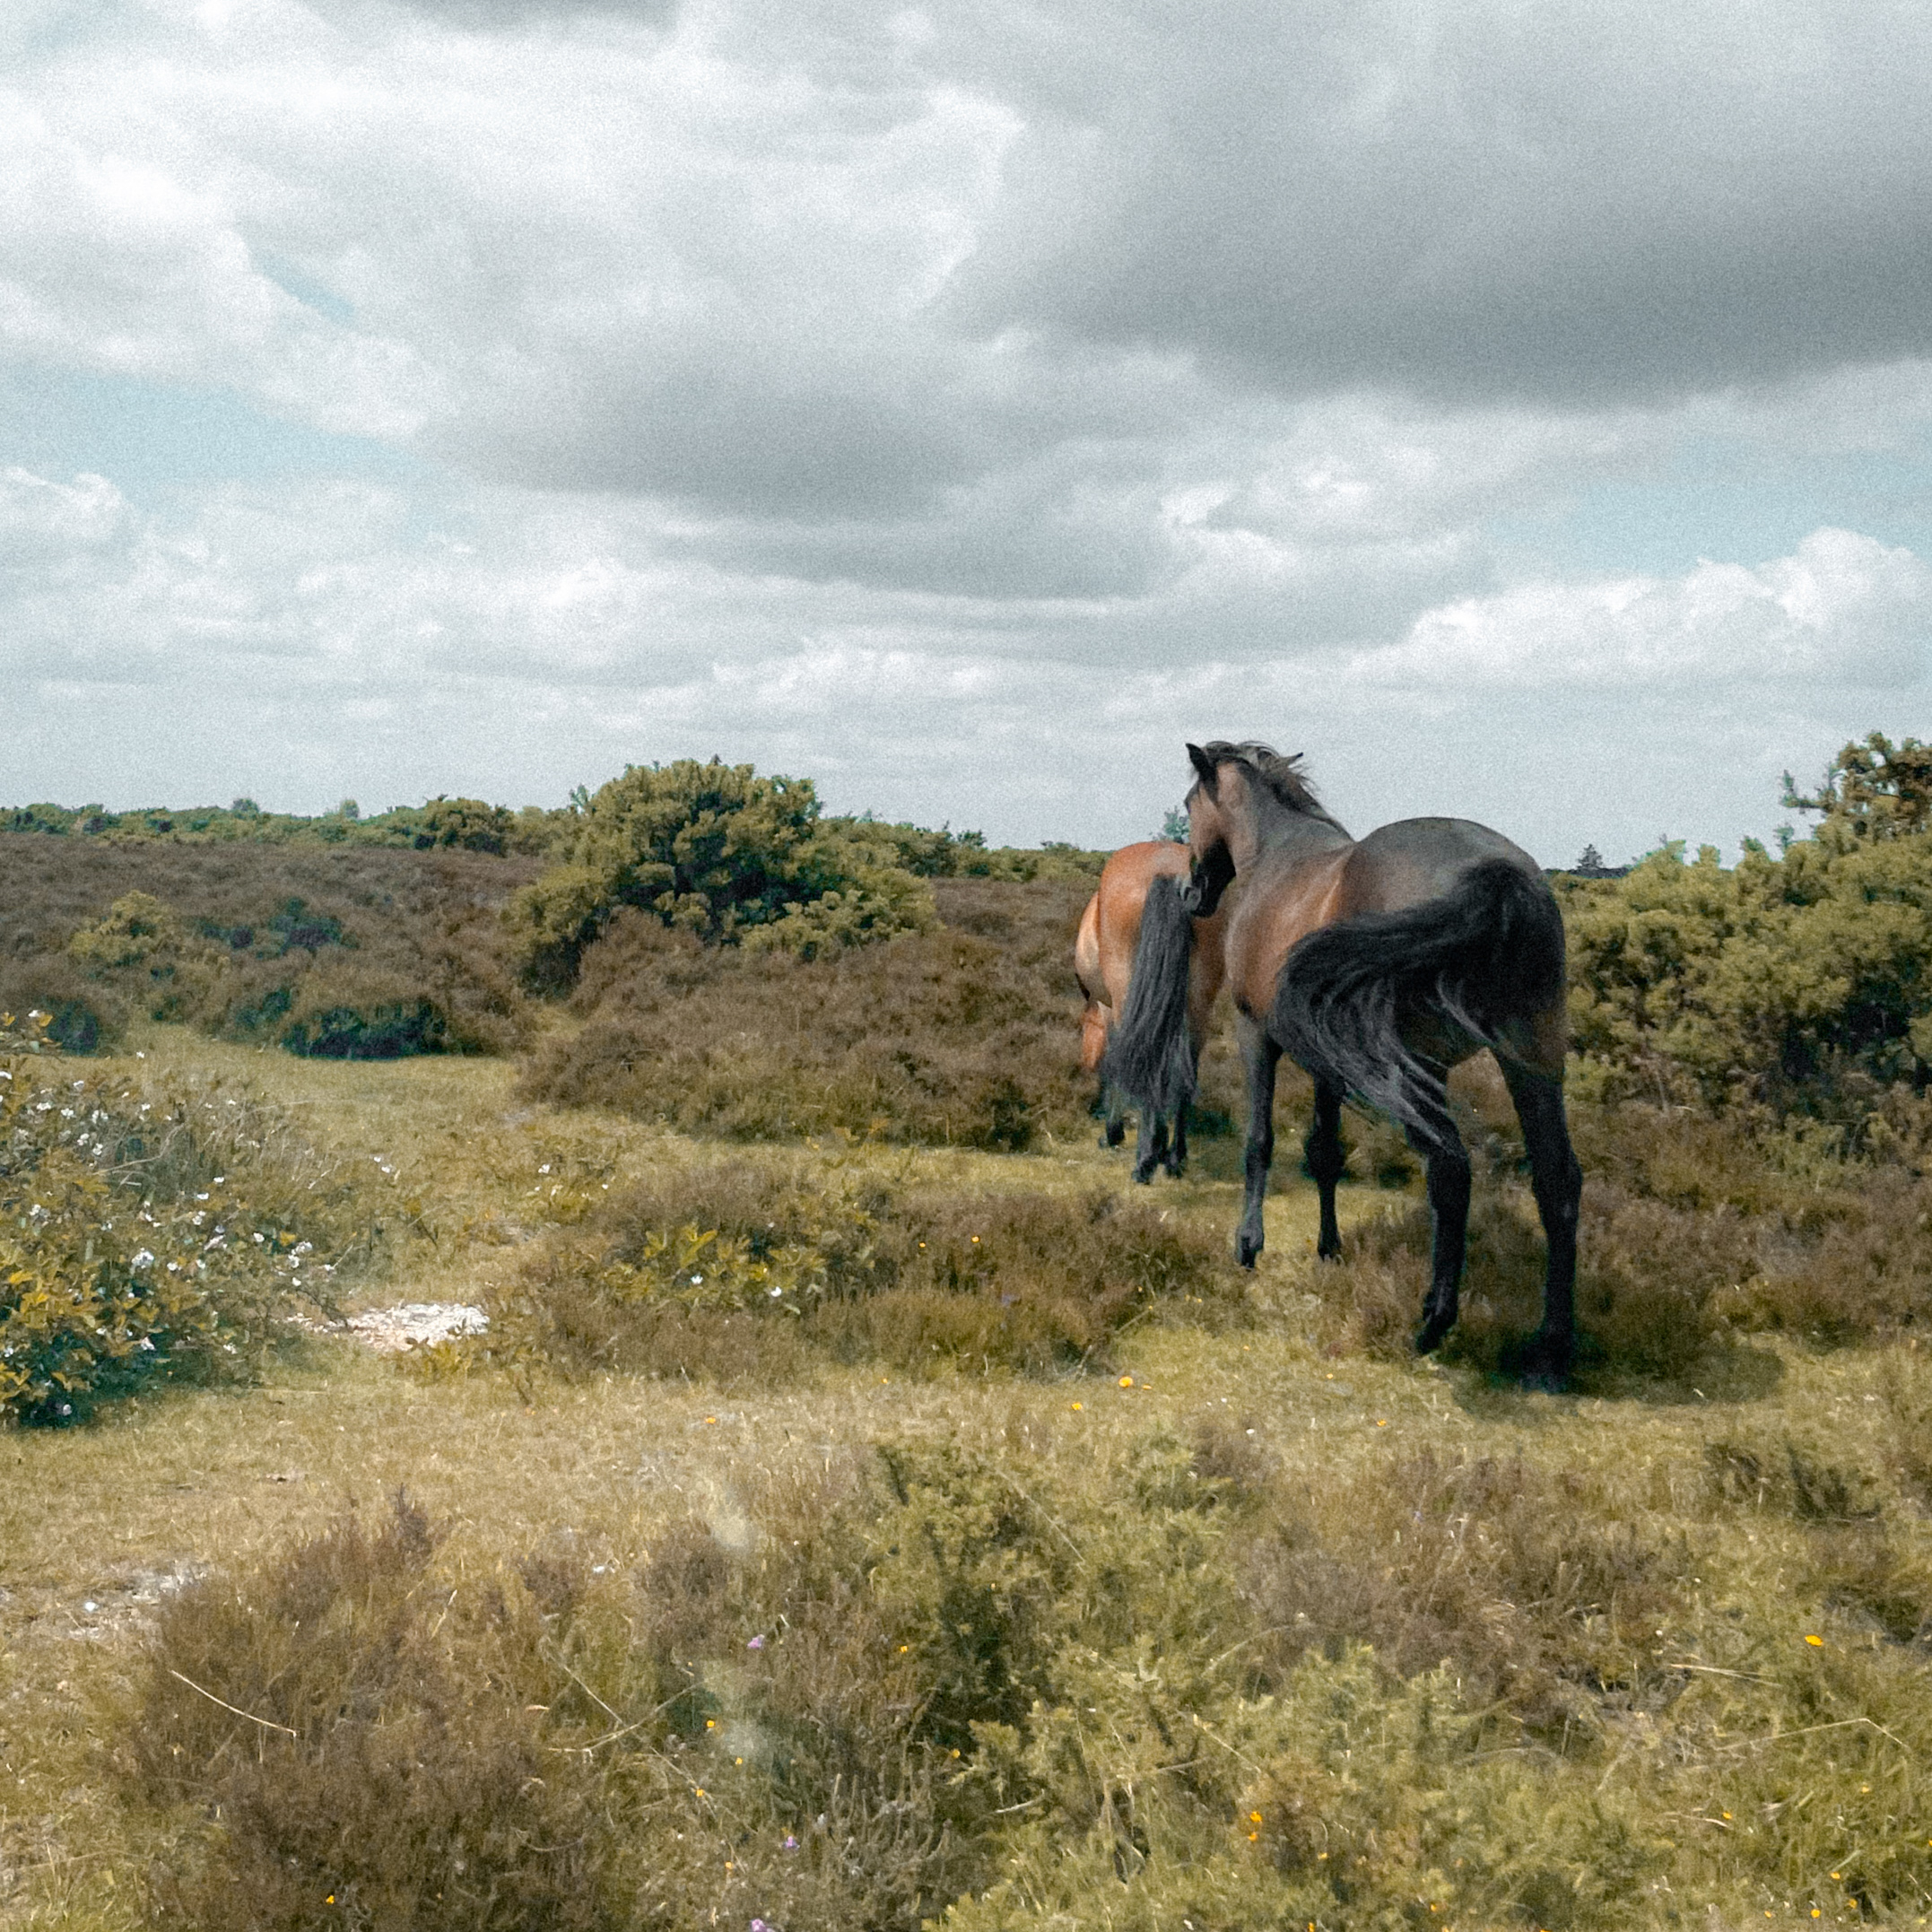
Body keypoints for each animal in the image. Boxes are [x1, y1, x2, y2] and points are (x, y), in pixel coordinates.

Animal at [1074, 840, 1227, 1182]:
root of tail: (1171, 873)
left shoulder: (1108, 1008)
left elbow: (1114, 1062)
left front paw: (1113, 1133)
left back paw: (1145, 1159)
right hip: (1199, 1004)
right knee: (1184, 1074)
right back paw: (1173, 1157)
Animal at [1106, 742, 1581, 1388]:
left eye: (1188, 803)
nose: (1189, 893)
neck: (1277, 856)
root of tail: (1495, 876)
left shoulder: (1256, 1034)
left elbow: (1260, 1142)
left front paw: (1248, 1244)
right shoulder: (1326, 1062)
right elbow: (1325, 1153)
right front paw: (1328, 1249)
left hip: (1422, 1067)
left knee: (1450, 1172)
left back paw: (1434, 1321)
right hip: (1531, 1063)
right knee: (1557, 1181)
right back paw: (1551, 1349)